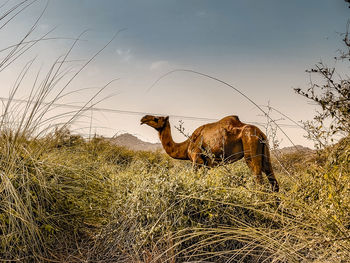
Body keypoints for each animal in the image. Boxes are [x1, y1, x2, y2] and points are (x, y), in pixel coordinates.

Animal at [139, 114, 278, 193]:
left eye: (156, 118)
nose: (143, 118)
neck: (186, 146)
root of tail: (260, 134)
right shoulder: (207, 165)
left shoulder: (197, 160)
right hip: (265, 151)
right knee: (273, 181)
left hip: (249, 144)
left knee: (259, 181)